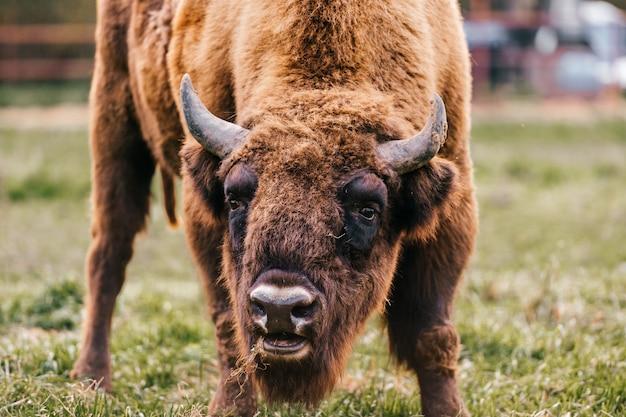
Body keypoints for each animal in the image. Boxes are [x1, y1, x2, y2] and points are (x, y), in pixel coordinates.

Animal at [70, 0, 476, 416]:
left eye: (369, 209)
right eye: (235, 199)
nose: (280, 307)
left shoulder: (451, 210)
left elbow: (432, 331)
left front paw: (449, 409)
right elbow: (228, 323)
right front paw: (230, 408)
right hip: (115, 128)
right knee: (108, 258)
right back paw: (92, 381)